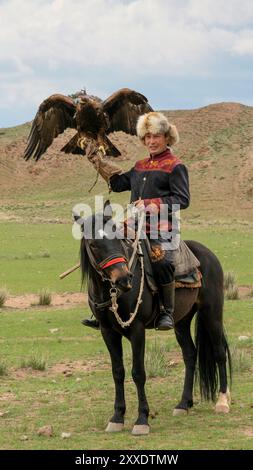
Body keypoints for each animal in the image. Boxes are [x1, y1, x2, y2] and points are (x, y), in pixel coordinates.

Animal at [78, 202, 231, 434]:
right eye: (94, 244)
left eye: (117, 238)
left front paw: (142, 419)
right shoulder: (107, 331)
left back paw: (222, 402)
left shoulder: (137, 329)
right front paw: (117, 417)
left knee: (219, 352)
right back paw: (183, 404)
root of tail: (206, 253)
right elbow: (118, 372)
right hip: (181, 321)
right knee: (190, 354)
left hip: (211, 312)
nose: (123, 279)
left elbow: (138, 372)